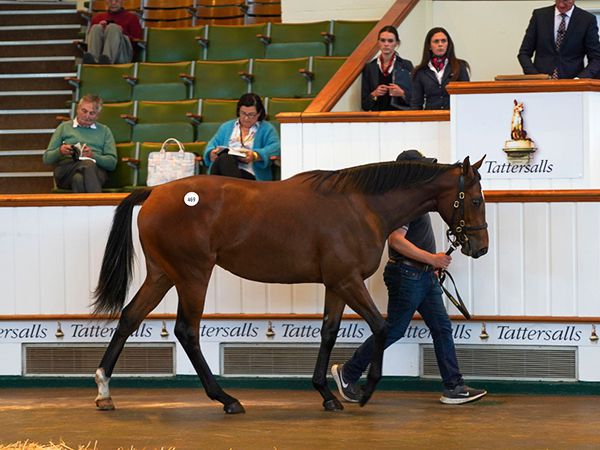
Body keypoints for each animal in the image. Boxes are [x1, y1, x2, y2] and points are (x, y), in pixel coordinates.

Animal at [92, 156, 488, 414]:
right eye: (475, 199)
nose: (480, 247)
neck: (361, 206)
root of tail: (154, 193)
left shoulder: (337, 284)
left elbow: (329, 332)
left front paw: (328, 393)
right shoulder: (348, 281)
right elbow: (381, 326)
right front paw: (363, 391)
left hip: (162, 274)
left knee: (129, 317)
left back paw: (104, 389)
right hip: (192, 276)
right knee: (186, 331)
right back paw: (226, 399)